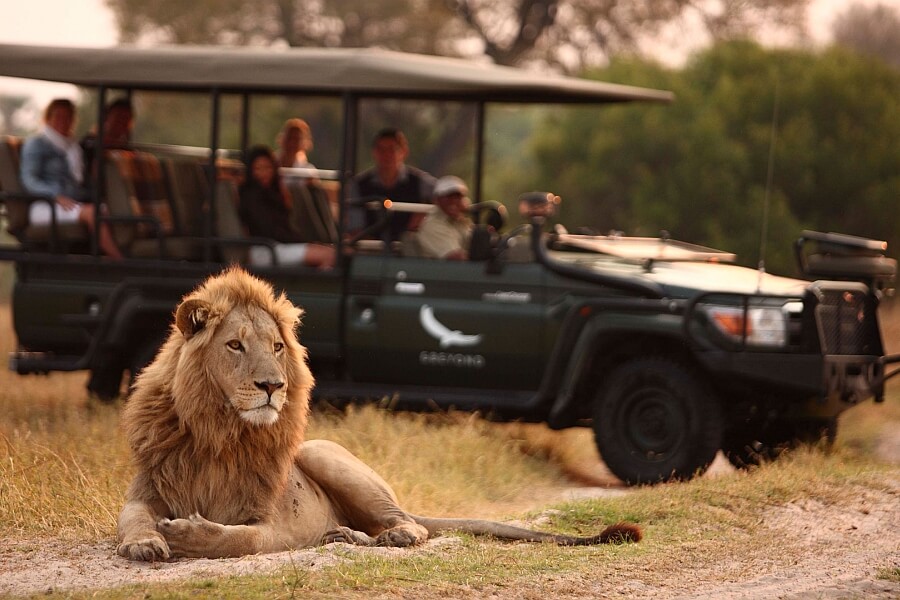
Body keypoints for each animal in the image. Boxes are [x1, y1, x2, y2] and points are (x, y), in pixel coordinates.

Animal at [116, 266, 641, 561]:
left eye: (277, 347)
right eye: (234, 346)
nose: (273, 386)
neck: (220, 432)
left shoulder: (274, 526)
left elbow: (239, 540)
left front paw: (188, 535)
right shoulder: (146, 489)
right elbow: (133, 517)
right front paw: (144, 542)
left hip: (327, 455)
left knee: (411, 524)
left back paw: (383, 538)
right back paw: (343, 536)